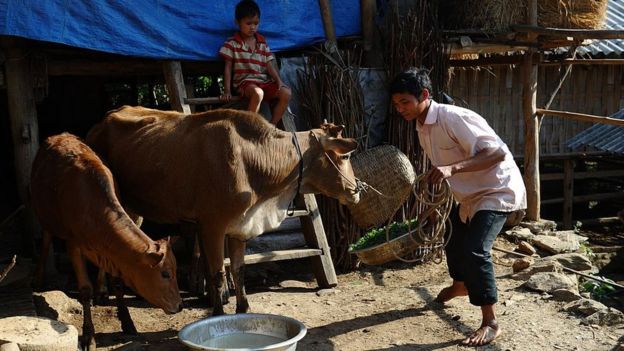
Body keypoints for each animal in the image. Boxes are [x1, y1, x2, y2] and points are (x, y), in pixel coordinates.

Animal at [30, 133, 182, 350]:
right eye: (165, 274)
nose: (180, 305)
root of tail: (60, 135)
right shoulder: (73, 244)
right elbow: (85, 290)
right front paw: (89, 336)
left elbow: (118, 283)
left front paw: (128, 322)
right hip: (44, 215)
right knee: (45, 240)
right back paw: (39, 278)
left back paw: (102, 289)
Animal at [87, 106, 360, 316]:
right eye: (345, 156)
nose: (357, 189)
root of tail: (102, 121)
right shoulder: (212, 225)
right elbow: (217, 272)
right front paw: (218, 312)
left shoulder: (240, 225)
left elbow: (238, 269)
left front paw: (243, 308)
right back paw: (101, 291)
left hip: (135, 209)